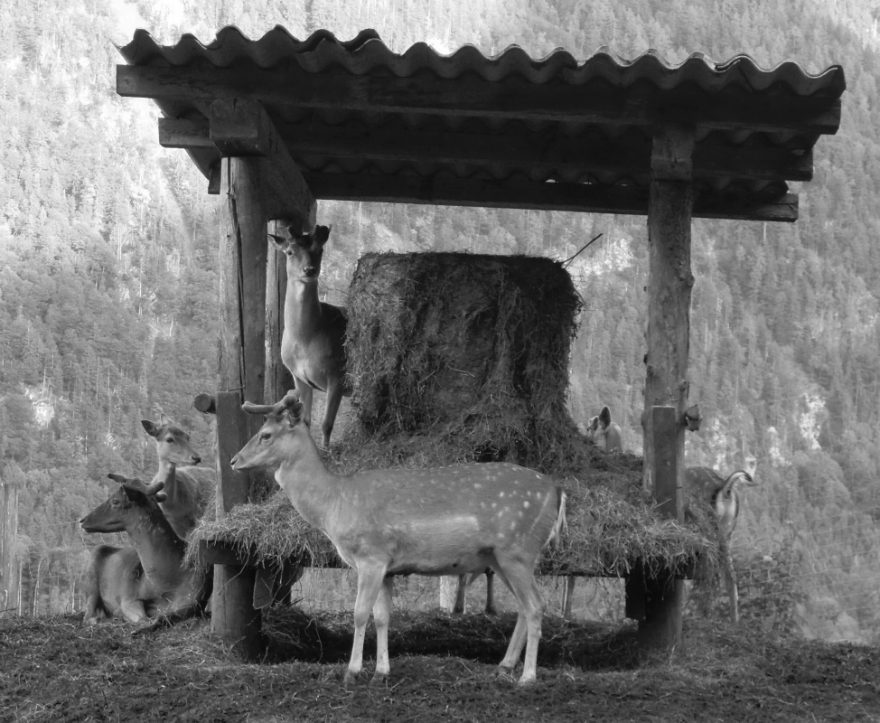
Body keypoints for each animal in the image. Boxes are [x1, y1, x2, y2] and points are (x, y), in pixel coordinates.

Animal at [79, 476, 210, 624]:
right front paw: (121, 614)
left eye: (115, 501)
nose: (82, 520)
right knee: (88, 615)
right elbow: (143, 618)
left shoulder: (192, 600)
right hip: (90, 582)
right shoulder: (128, 597)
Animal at [230, 394, 568, 688]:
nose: (234, 461)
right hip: (502, 557)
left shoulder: (371, 555)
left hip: (518, 550)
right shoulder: (387, 567)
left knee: (535, 606)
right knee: (525, 606)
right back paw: (504, 667)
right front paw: (381, 672)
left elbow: (359, 613)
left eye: (266, 434)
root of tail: (556, 490)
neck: (335, 506)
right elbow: (382, 617)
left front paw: (352, 672)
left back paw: (527, 677)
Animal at [268, 223, 350, 450]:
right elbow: (305, 420)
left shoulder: (337, 373)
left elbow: (326, 422)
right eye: (289, 251)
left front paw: (326, 450)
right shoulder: (298, 376)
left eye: (319, 249)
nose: (309, 270)